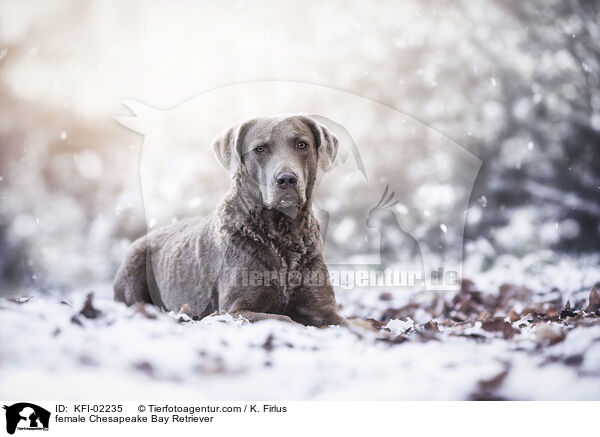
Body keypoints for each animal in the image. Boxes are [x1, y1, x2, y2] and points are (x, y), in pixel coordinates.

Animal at [114, 114, 346, 326]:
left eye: (301, 144)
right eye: (260, 149)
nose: (287, 179)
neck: (282, 232)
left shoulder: (324, 308)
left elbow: (345, 323)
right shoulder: (234, 310)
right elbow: (287, 320)